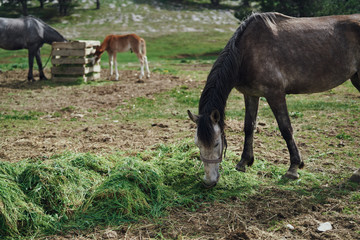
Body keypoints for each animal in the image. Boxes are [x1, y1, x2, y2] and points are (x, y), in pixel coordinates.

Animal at [187, 11, 360, 188]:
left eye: (216, 143)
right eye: (197, 144)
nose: (209, 182)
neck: (247, 52)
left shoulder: (275, 94)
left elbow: (286, 129)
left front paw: (293, 168)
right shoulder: (251, 94)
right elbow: (249, 127)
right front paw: (244, 162)